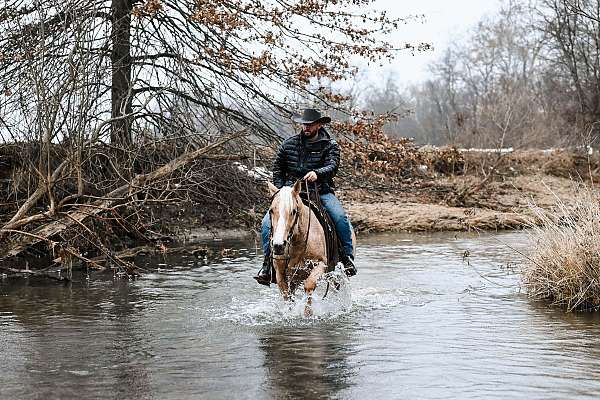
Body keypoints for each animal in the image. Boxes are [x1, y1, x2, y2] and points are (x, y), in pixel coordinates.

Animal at [264, 179, 354, 316]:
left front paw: (308, 313)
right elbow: (286, 294)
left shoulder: (321, 265)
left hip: (336, 274)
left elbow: (309, 285)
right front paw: (290, 312)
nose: (278, 246)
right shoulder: (280, 273)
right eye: (271, 211)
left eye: (293, 211)